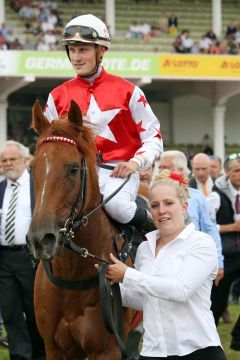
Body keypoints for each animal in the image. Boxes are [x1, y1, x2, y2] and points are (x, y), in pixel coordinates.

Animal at [26, 100, 137, 360]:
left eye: (74, 169)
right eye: (32, 168)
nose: (40, 239)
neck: (72, 274)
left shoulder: (108, 349)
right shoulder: (56, 348)